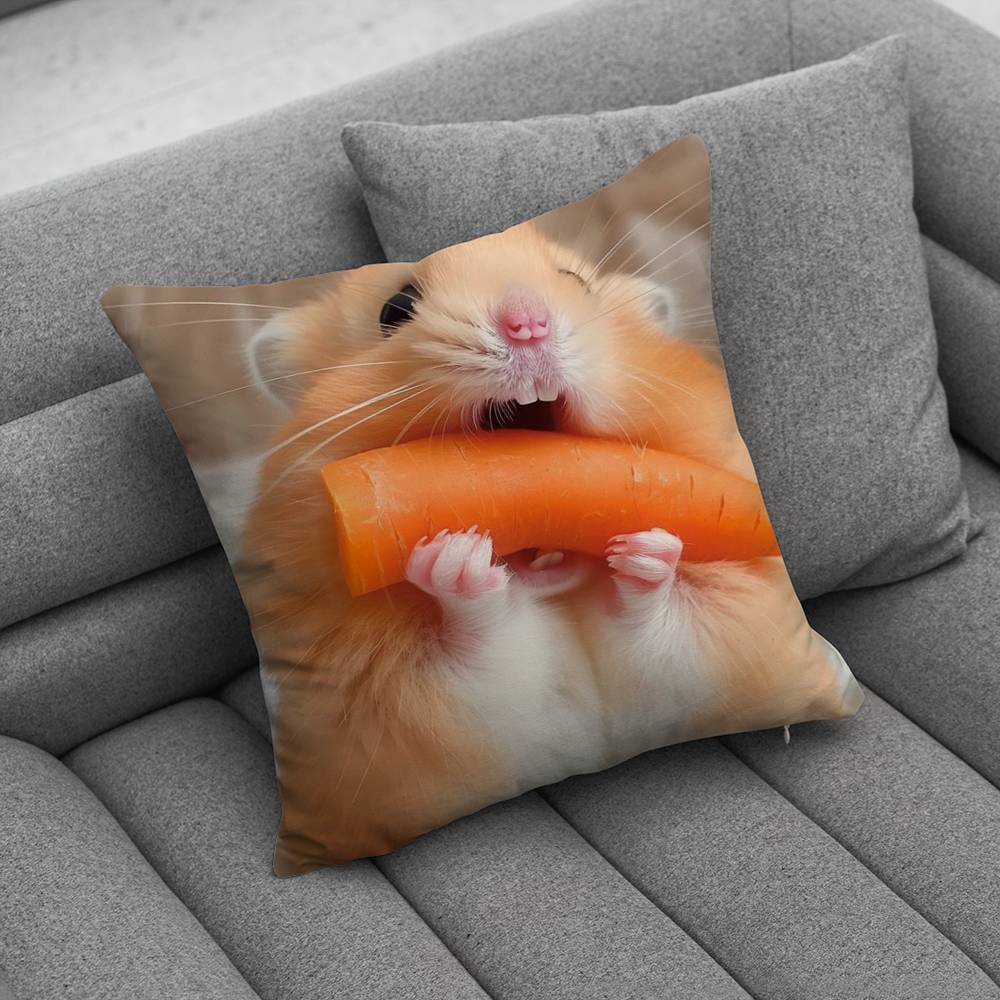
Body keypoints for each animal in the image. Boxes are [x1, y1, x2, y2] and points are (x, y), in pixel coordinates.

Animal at [239, 222, 848, 865]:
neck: (558, 594)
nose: (527, 324)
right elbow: (483, 652)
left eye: (576, 281)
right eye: (395, 309)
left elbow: (667, 622)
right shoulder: (406, 716)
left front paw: (647, 551)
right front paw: (457, 560)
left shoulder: (712, 652)